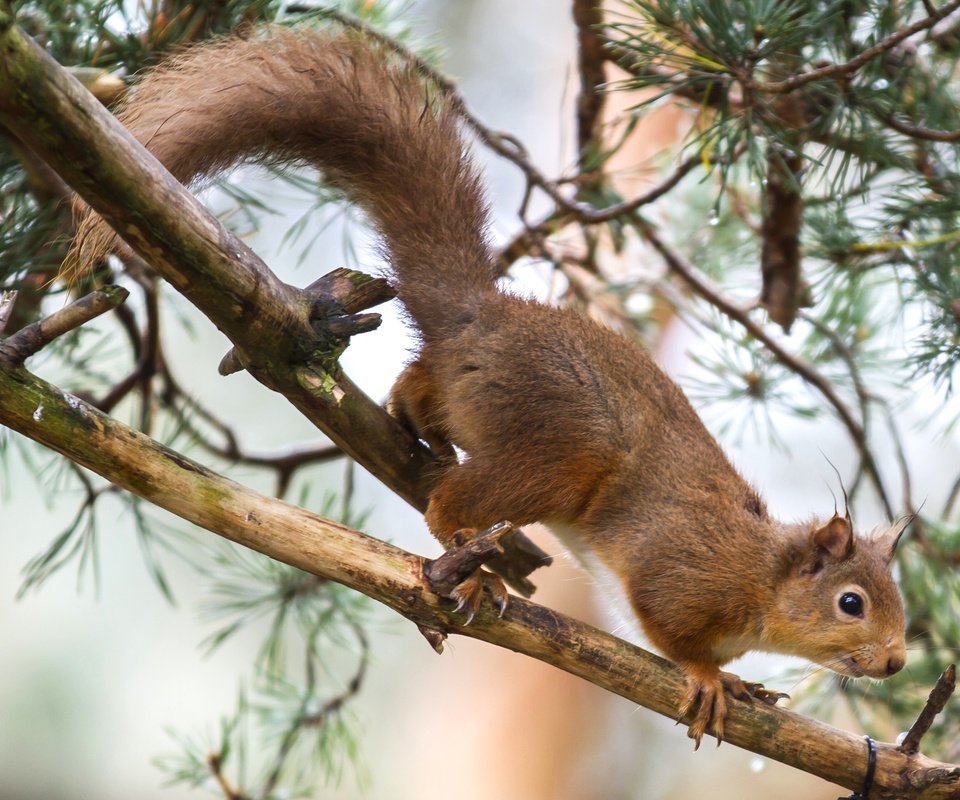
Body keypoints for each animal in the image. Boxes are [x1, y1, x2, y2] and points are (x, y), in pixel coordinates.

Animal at [73, 28, 908, 748]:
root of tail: (482, 314)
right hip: (562, 454)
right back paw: (467, 564)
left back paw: (418, 427)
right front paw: (710, 676)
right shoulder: (680, 576)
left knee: (418, 387)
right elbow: (668, 629)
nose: (900, 661)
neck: (760, 575)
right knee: (451, 501)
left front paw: (745, 683)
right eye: (852, 603)